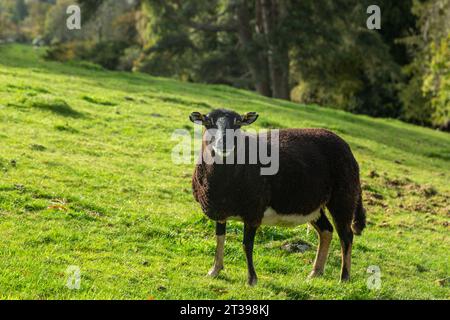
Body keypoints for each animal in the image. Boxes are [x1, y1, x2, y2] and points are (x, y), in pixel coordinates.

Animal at [190, 109, 366, 284]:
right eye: (208, 122)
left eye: (238, 123)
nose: (224, 144)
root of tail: (345, 145)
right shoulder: (220, 210)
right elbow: (220, 238)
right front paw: (214, 270)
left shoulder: (253, 211)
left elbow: (247, 245)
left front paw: (251, 280)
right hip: (312, 205)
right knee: (326, 231)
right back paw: (315, 272)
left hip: (343, 196)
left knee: (346, 236)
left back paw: (344, 277)